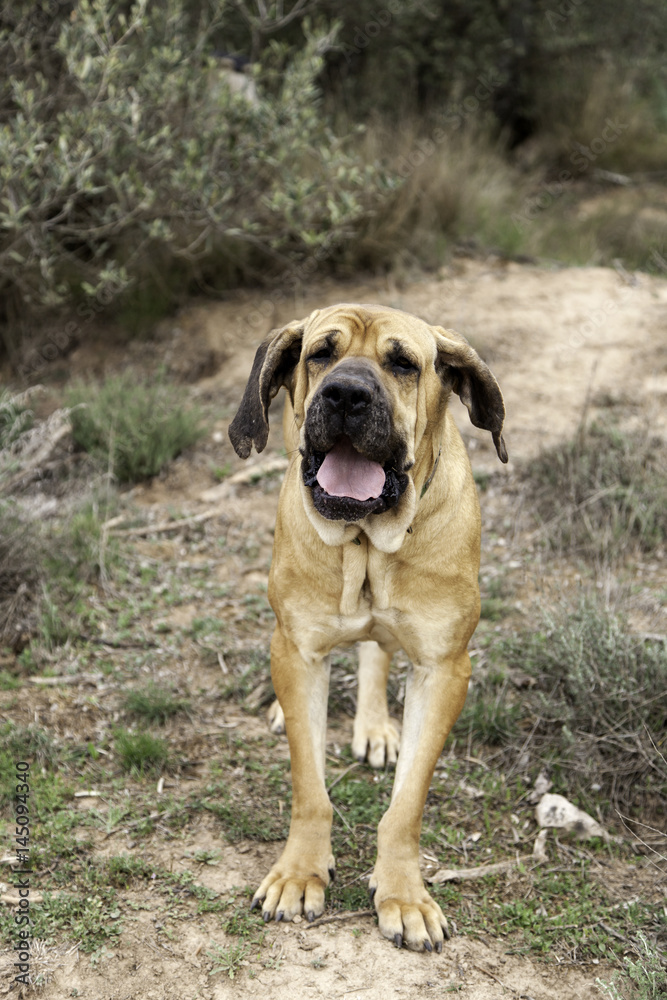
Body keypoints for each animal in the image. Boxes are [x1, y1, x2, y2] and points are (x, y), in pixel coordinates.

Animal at [230, 302, 506, 952]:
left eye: (403, 363)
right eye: (320, 354)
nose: (346, 394)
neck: (366, 540)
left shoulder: (444, 670)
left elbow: (406, 805)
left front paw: (405, 895)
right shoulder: (299, 651)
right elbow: (309, 787)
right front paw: (299, 873)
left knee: (377, 651)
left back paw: (376, 726)